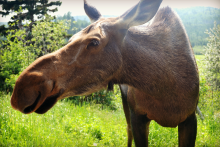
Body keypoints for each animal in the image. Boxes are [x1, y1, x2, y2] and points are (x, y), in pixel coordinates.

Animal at [10, 0, 199, 146]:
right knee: (127, 130)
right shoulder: (138, 115)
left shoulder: (190, 118)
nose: (22, 89)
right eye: (70, 38)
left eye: (94, 42)